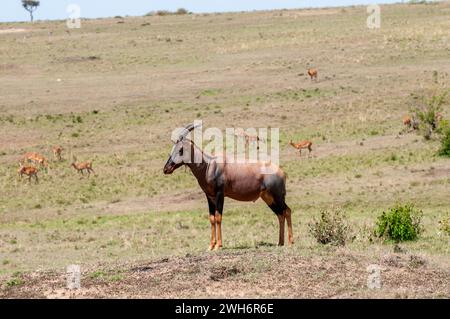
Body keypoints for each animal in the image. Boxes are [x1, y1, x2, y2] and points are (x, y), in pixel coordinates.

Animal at [163, 124, 294, 251]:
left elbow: (218, 217)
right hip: (268, 198)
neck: (209, 164)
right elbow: (211, 218)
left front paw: (218, 246)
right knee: (280, 214)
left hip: (277, 196)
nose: (166, 169)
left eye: (180, 149)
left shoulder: (220, 194)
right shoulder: (209, 196)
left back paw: (290, 242)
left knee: (287, 211)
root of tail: (281, 172)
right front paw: (211, 246)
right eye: (173, 148)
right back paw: (280, 243)